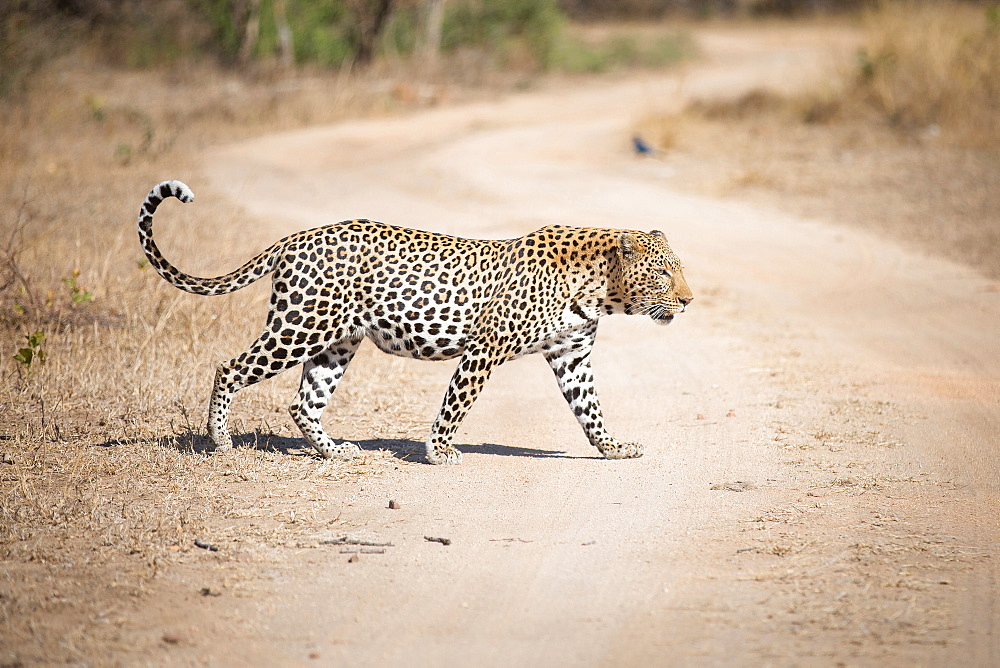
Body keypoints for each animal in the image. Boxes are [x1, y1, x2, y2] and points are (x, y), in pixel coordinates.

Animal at [137, 180, 692, 468]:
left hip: (336, 342)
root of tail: (296, 237)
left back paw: (335, 452)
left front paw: (614, 447)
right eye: (664, 272)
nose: (689, 300)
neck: (599, 290)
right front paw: (439, 450)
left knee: (303, 402)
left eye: (677, 268)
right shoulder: (485, 349)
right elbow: (456, 404)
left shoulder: (571, 355)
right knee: (229, 368)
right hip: (300, 326)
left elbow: (591, 410)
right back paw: (221, 442)